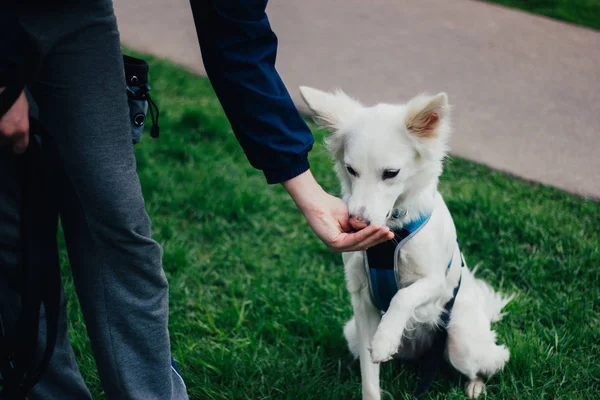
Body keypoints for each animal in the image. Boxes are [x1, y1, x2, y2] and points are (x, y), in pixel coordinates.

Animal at [300, 86, 510, 398]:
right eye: (351, 169)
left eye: (391, 173)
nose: (357, 223)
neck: (393, 231)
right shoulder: (362, 301)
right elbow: (369, 376)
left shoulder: (436, 282)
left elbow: (403, 296)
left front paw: (386, 338)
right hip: (352, 334)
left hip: (462, 344)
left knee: (493, 360)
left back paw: (474, 386)